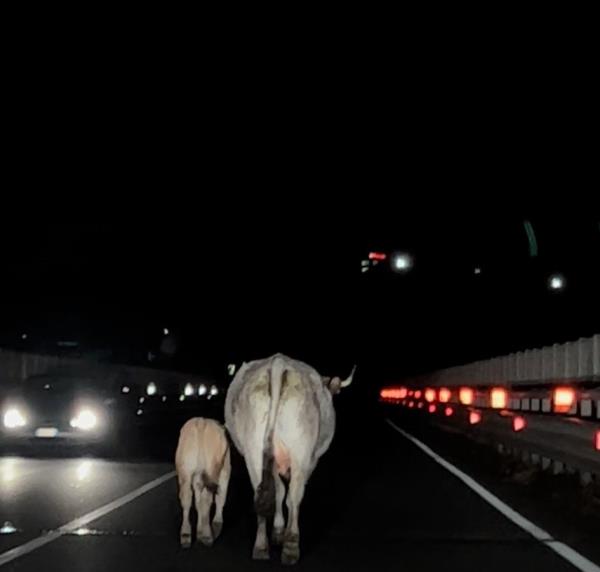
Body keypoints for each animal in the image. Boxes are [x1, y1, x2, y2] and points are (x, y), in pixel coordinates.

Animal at [175, 418, 231, 548]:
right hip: (212, 469)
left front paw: (199, 531)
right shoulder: (225, 471)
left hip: (185, 469)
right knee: (208, 498)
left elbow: (197, 502)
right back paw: (207, 536)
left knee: (186, 498)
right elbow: (220, 498)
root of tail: (201, 422)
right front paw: (216, 524)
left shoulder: (197, 478)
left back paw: (186, 535)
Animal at [226, 354, 356, 564]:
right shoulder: (310, 460)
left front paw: (278, 531)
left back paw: (261, 546)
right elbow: (286, 496)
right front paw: (282, 533)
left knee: (260, 496)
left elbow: (278, 492)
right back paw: (291, 547)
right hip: (300, 455)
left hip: (254, 452)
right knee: (294, 497)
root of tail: (278, 363)